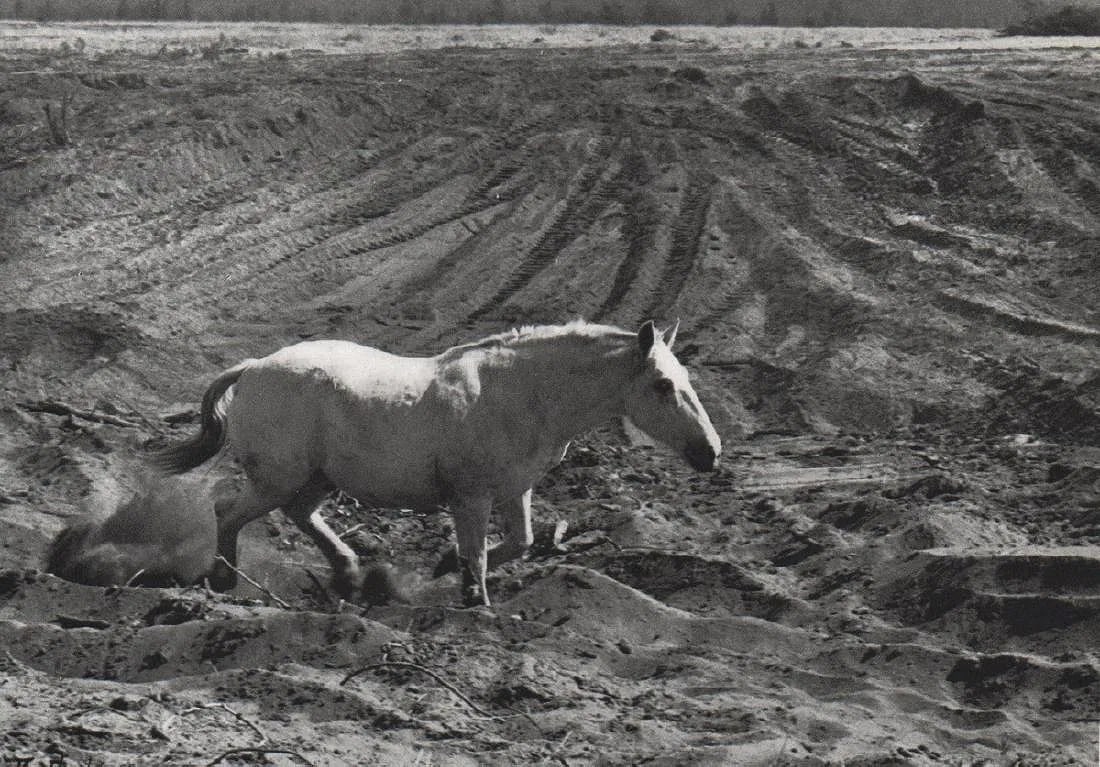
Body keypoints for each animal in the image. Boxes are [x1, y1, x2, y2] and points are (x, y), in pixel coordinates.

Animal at [153, 320, 722, 607]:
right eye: (662, 385)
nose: (710, 453)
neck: (521, 393)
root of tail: (253, 368)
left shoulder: (514, 490)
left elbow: (519, 543)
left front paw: (449, 567)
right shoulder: (471, 497)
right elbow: (479, 552)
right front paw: (475, 599)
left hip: (317, 480)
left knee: (300, 515)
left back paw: (350, 574)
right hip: (278, 478)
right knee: (228, 512)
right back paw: (223, 581)